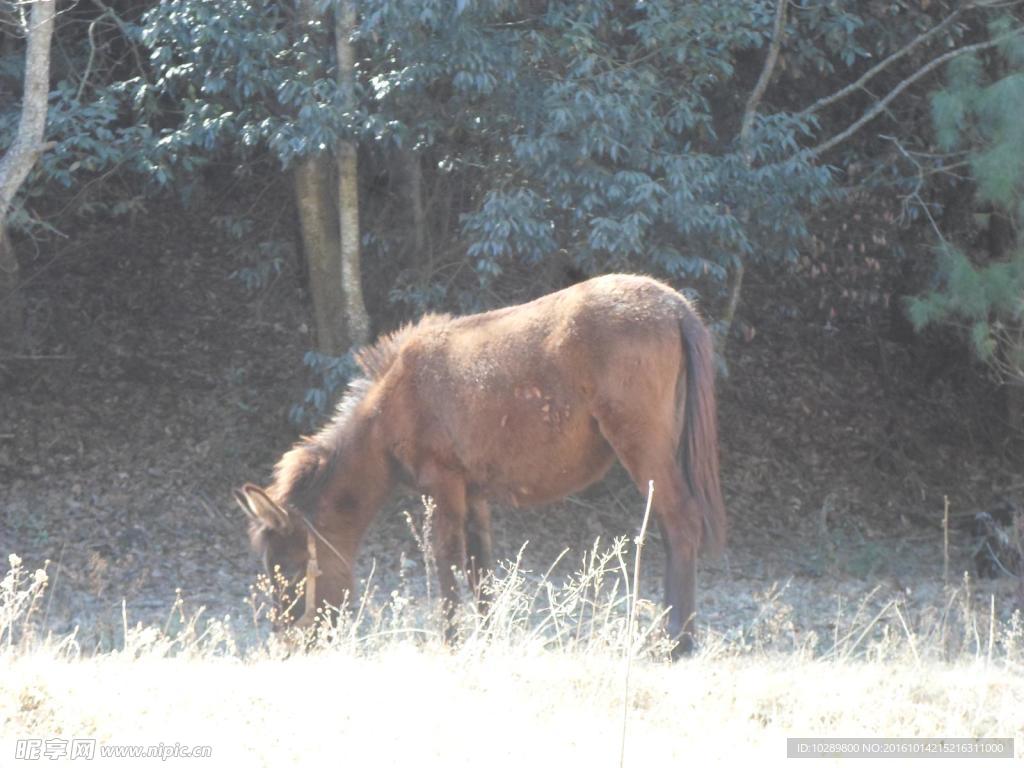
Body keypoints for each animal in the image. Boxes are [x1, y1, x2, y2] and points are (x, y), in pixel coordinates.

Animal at [234, 270, 724, 655]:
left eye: (290, 570)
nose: (290, 646)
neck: (394, 403)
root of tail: (675, 306)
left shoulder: (444, 484)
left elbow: (447, 562)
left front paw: (450, 644)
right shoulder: (474, 493)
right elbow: (480, 570)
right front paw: (486, 641)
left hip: (643, 447)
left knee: (681, 524)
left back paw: (676, 644)